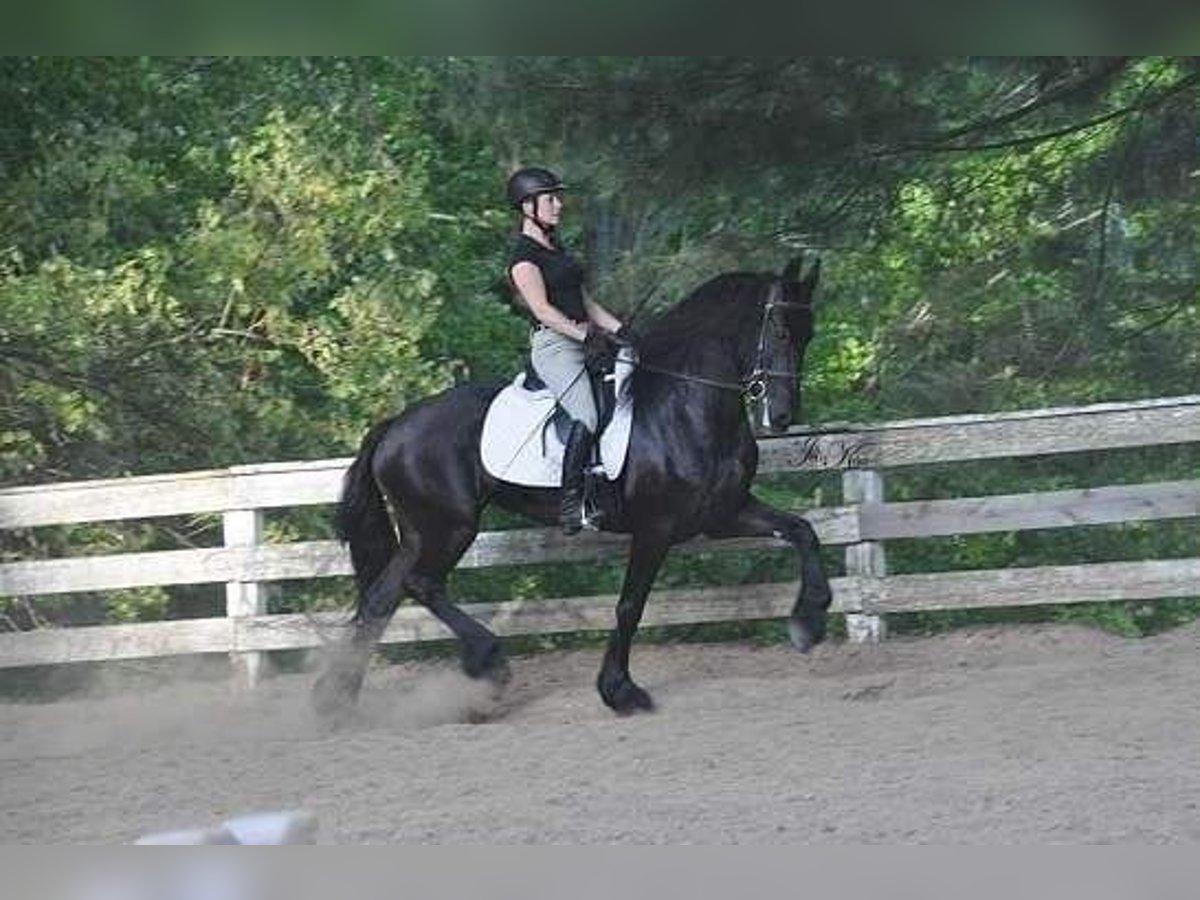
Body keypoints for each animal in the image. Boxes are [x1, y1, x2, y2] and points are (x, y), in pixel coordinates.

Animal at [314, 255, 830, 720]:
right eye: (781, 331)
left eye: (808, 335)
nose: (783, 416)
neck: (685, 404)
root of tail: (394, 427)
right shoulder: (657, 527)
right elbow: (629, 606)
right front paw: (620, 692)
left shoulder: (721, 514)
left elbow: (802, 531)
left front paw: (809, 623)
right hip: (449, 527)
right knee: (420, 584)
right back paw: (487, 662)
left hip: (423, 531)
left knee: (382, 598)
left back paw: (336, 703)